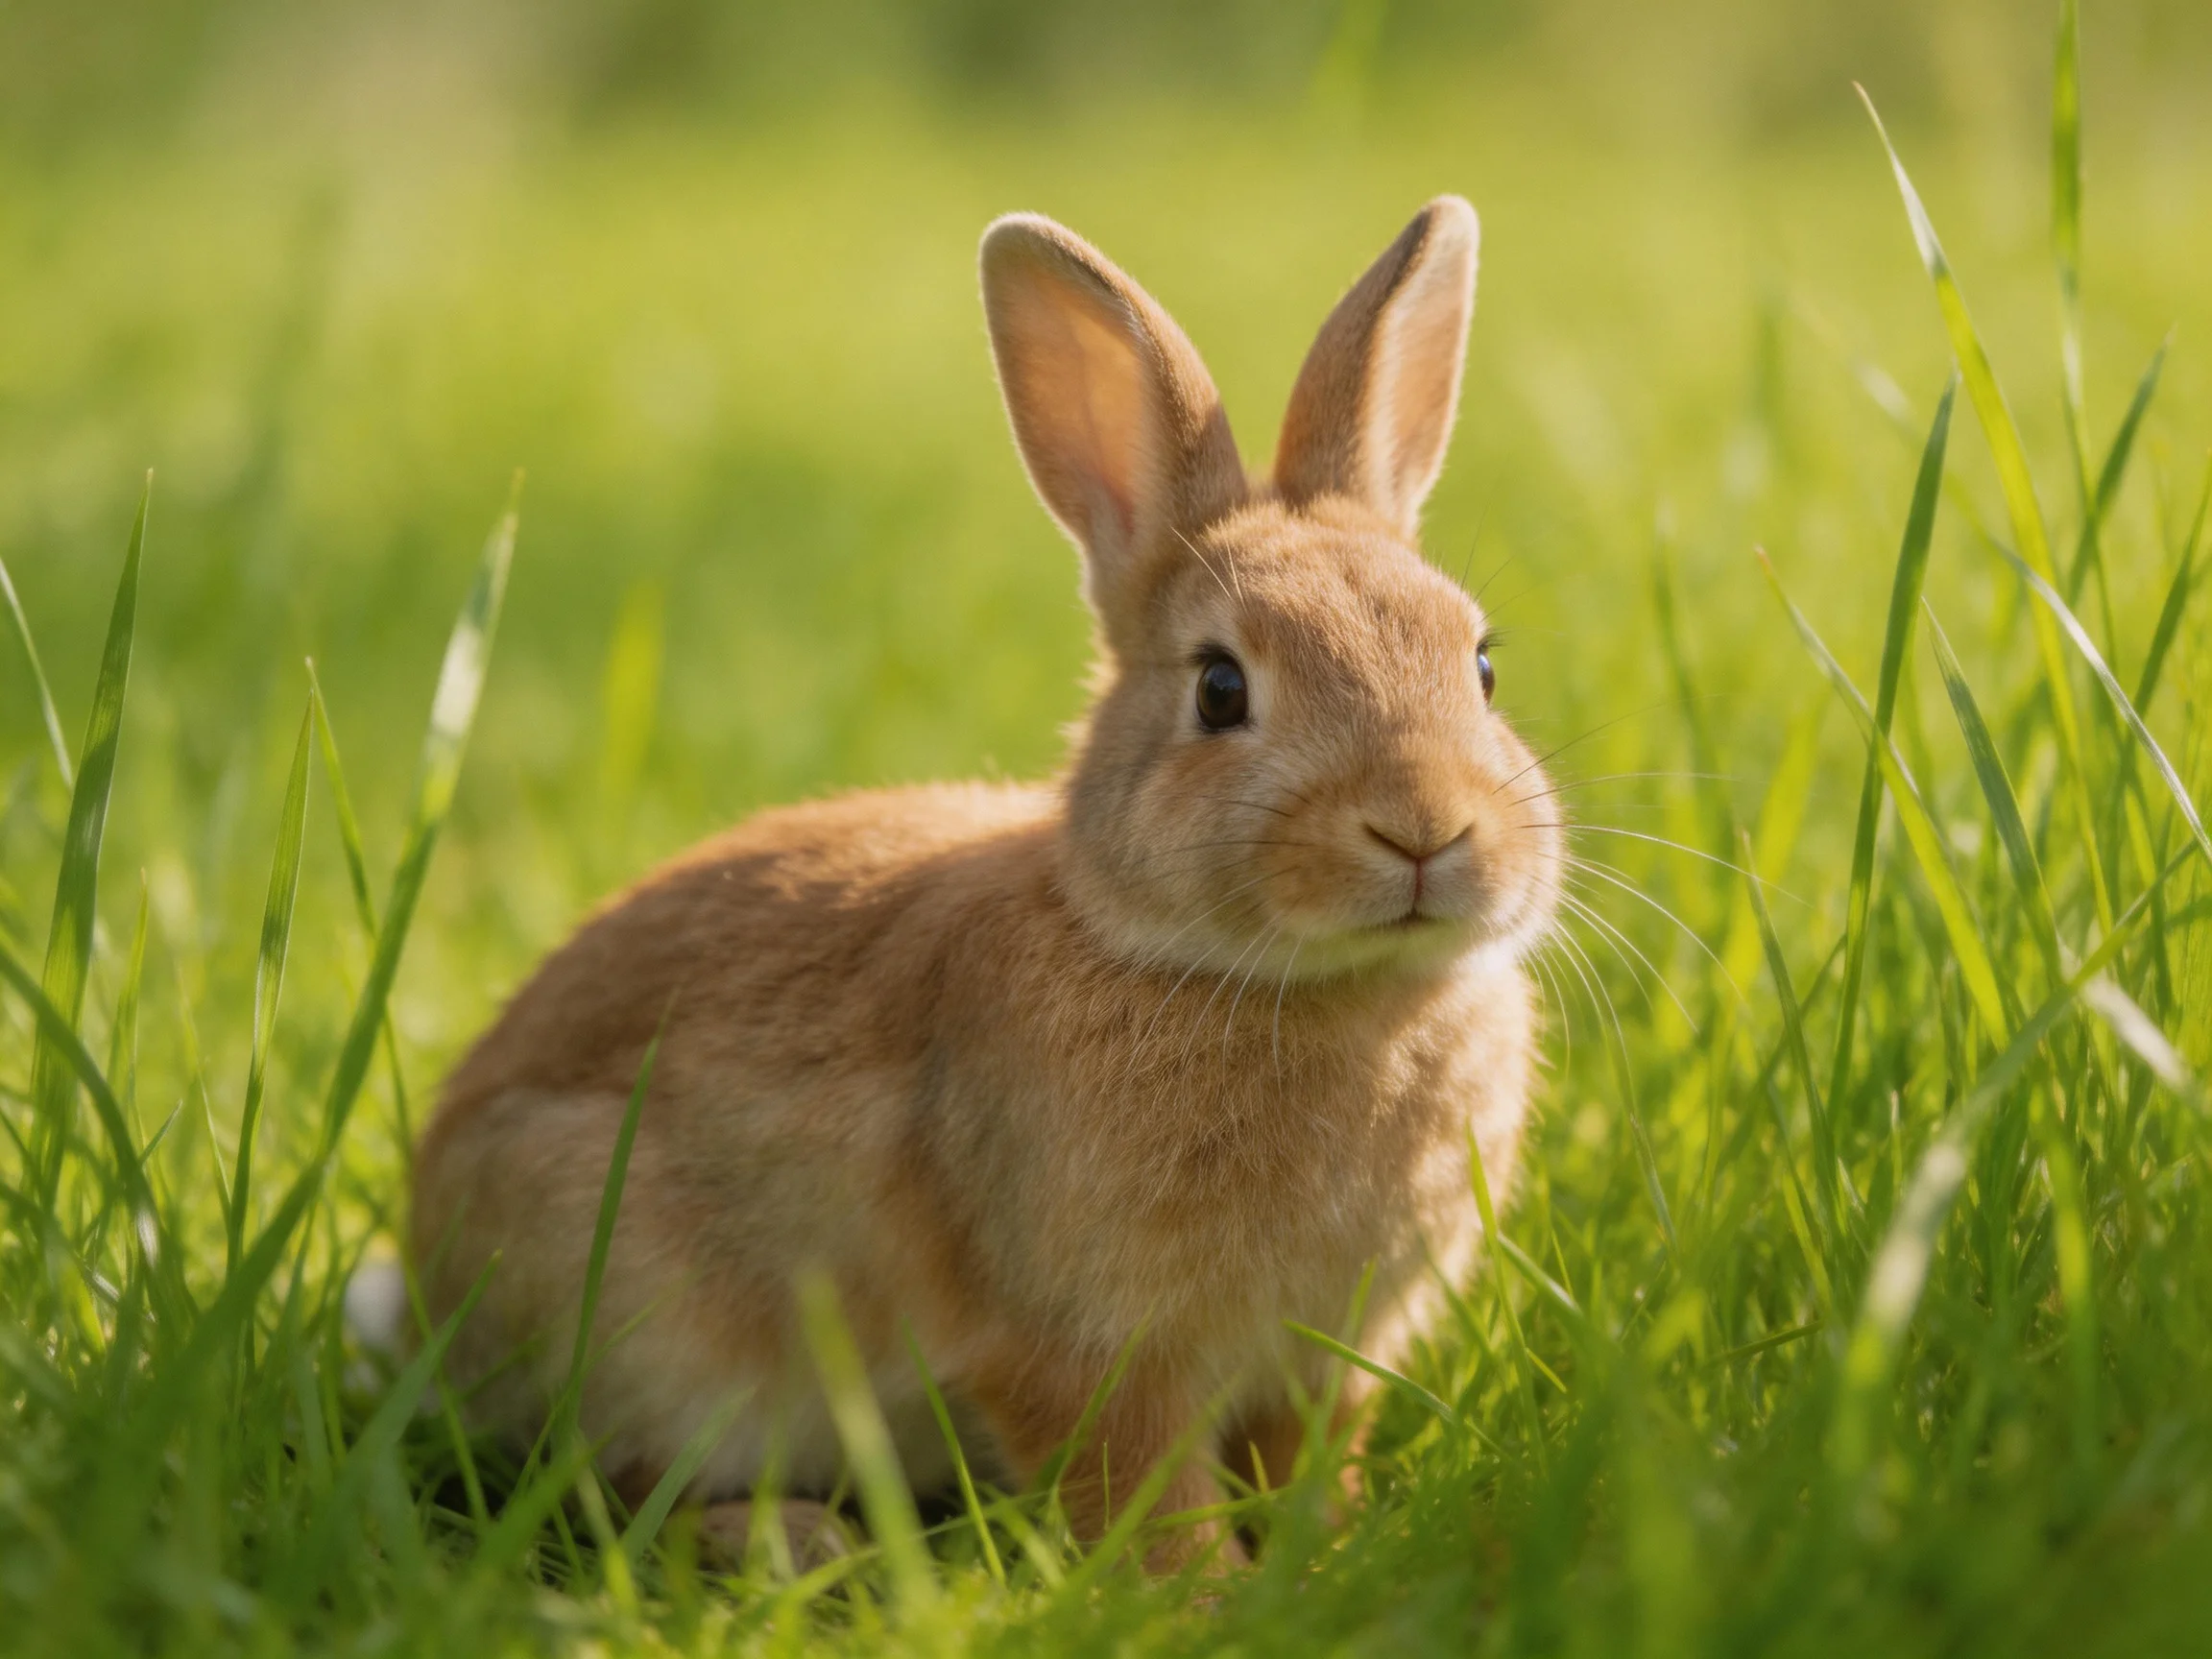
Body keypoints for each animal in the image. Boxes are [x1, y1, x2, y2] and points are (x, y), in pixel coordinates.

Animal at [408, 194, 1562, 1571]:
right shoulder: (1080, 1349)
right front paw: (1209, 1596)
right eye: (1220, 688)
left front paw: (1324, 1559)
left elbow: (1303, 1464)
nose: (1425, 827)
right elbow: (1142, 1493)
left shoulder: (1324, 1363)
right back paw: (794, 1540)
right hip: (637, 1307)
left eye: (1482, 665)